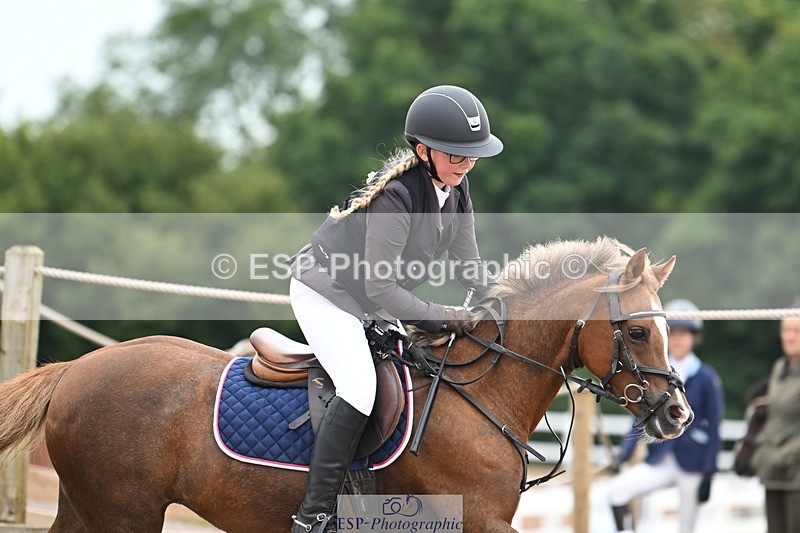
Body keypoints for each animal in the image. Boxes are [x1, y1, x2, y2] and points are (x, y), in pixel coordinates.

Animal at [0, 237, 692, 532]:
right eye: (637, 332)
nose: (676, 414)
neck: (479, 397)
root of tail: (78, 369)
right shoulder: (477, 521)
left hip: (86, 506)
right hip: (125, 513)